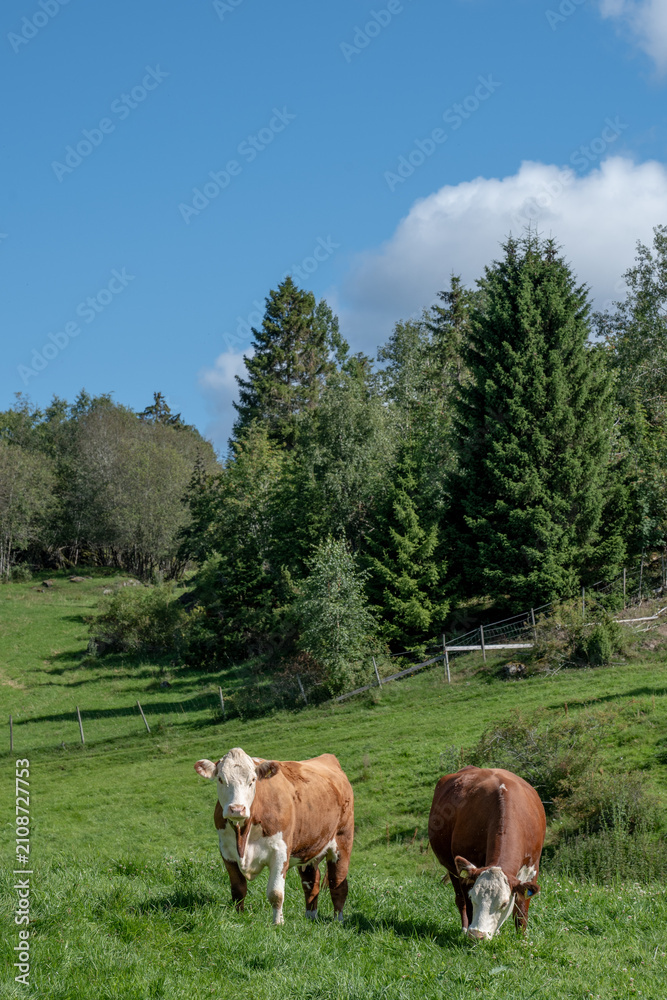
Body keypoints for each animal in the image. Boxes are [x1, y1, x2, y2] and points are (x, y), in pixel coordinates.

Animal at [194, 747, 354, 925]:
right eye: (221, 779)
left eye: (253, 780)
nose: (236, 809)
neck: (243, 834)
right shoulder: (227, 852)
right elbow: (238, 889)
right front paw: (239, 918)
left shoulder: (280, 851)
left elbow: (276, 893)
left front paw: (278, 923)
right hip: (309, 848)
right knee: (311, 883)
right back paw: (310, 917)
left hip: (343, 840)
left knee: (337, 883)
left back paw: (338, 920)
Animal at [428, 765, 546, 941]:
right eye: (473, 897)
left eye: (504, 903)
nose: (478, 935)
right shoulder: (468, 872)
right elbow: (468, 904)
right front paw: (468, 933)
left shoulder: (533, 868)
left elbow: (521, 910)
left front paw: (522, 939)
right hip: (452, 868)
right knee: (459, 900)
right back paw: (465, 928)